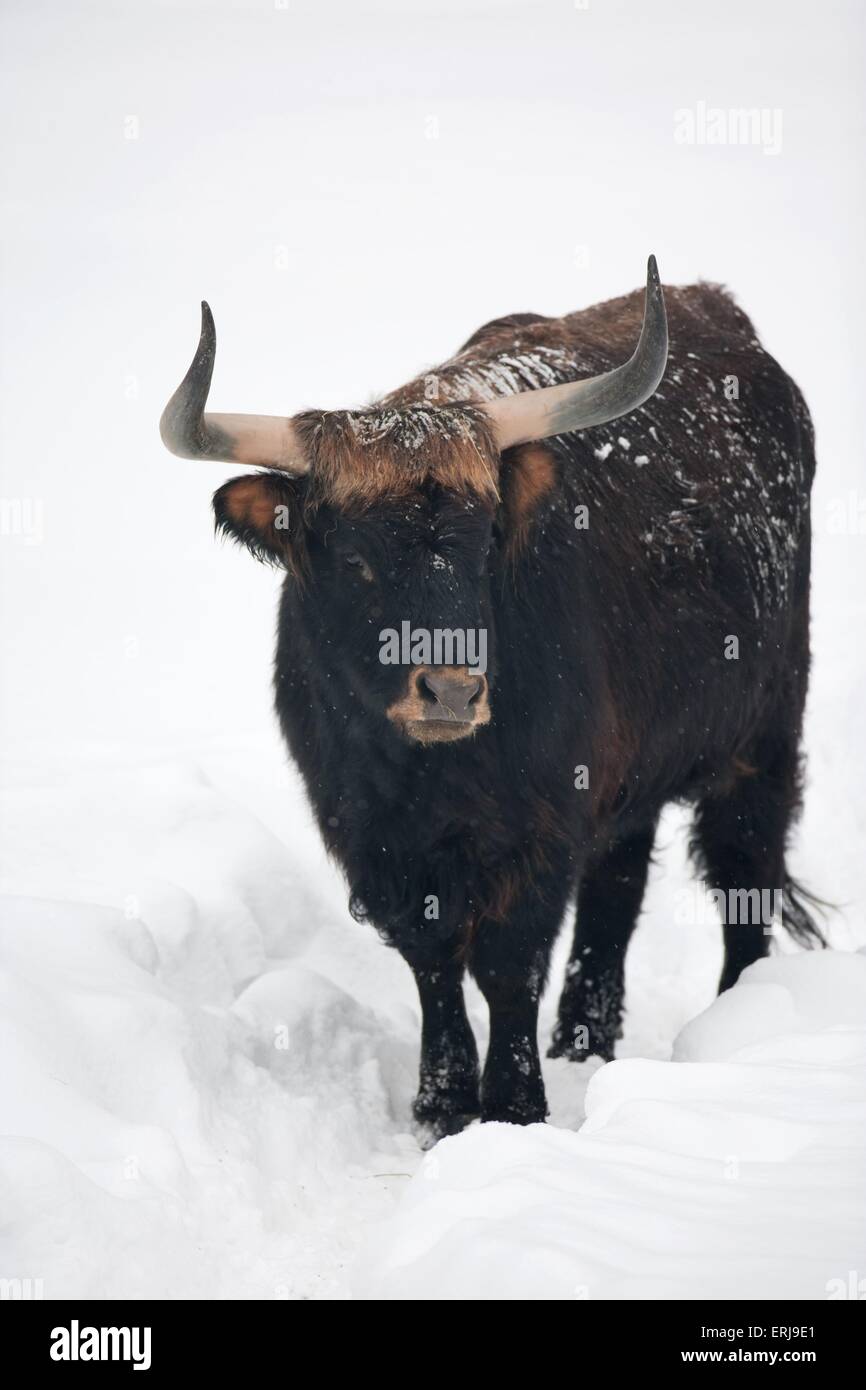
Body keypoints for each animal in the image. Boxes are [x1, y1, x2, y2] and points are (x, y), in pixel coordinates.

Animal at [160, 257, 822, 1141]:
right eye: (355, 560)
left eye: (482, 549)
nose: (451, 688)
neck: (425, 775)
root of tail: (714, 306)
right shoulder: (370, 834)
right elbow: (433, 961)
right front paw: (441, 1104)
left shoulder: (540, 824)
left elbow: (508, 964)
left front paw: (513, 1109)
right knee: (617, 888)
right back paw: (584, 1042)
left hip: (764, 732)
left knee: (744, 871)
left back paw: (739, 1027)